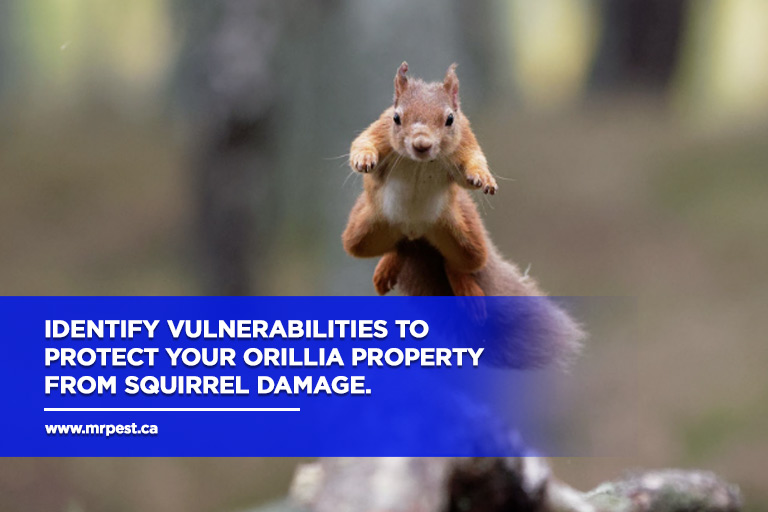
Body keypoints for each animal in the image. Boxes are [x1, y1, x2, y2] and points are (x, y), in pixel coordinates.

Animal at [342, 62, 583, 367]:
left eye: (450, 119)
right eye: (397, 118)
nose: (421, 144)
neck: (420, 162)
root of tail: (415, 235)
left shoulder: (465, 139)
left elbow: (474, 161)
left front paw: (484, 178)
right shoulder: (380, 130)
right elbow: (362, 142)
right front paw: (363, 159)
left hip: (463, 235)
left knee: (459, 263)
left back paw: (467, 289)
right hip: (362, 234)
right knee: (392, 247)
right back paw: (389, 264)